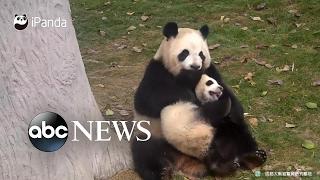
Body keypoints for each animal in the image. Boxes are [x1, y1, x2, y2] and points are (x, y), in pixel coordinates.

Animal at [131, 21, 266, 179]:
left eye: (201, 54)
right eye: (184, 53)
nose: (195, 66)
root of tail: (186, 160)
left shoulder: (211, 70)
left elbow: (228, 94)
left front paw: (233, 110)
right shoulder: (156, 70)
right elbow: (147, 100)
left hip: (225, 133)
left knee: (239, 134)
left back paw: (252, 158)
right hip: (150, 132)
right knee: (146, 152)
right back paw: (162, 172)